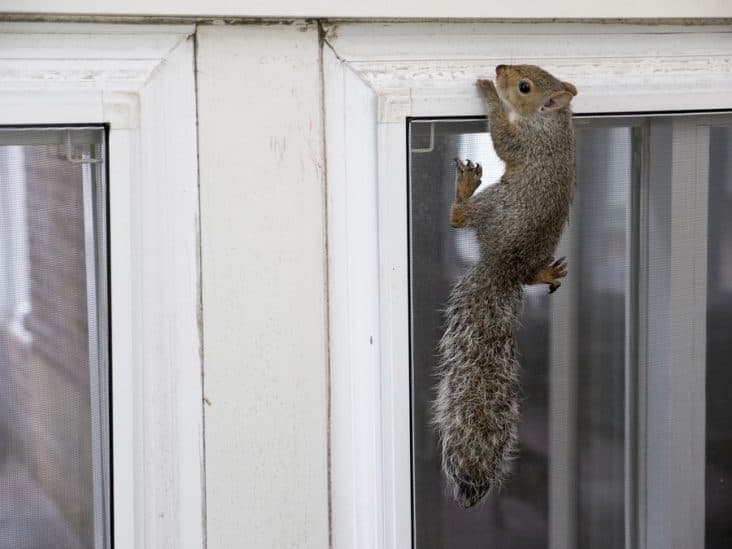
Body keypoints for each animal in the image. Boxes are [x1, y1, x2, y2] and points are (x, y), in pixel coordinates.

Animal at [433, 64, 577, 508]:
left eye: (525, 86)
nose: (499, 70)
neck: (552, 124)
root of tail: (502, 268)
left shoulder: (524, 145)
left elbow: (501, 136)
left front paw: (490, 95)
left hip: (494, 204)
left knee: (460, 219)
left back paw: (464, 191)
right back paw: (545, 274)